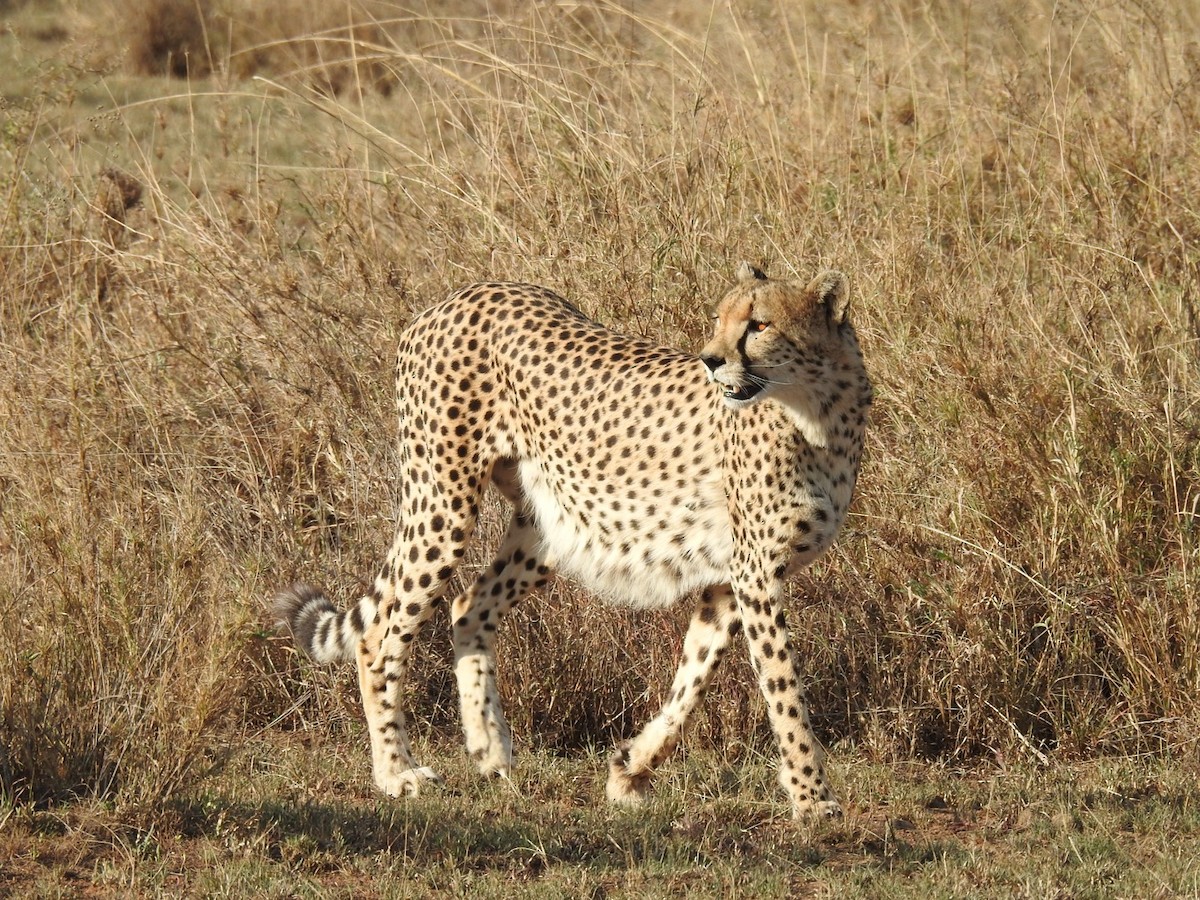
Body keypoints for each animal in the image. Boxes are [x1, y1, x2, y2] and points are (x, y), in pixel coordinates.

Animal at [274, 261, 872, 820]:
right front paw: (812, 798)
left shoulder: (731, 580)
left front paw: (630, 769)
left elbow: (693, 679)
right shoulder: (755, 572)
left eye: (759, 324)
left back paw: (489, 747)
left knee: (469, 606)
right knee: (379, 637)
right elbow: (783, 688)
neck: (817, 412)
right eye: (720, 320)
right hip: (443, 501)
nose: (710, 359)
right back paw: (396, 772)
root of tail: (457, 295)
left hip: (545, 527)